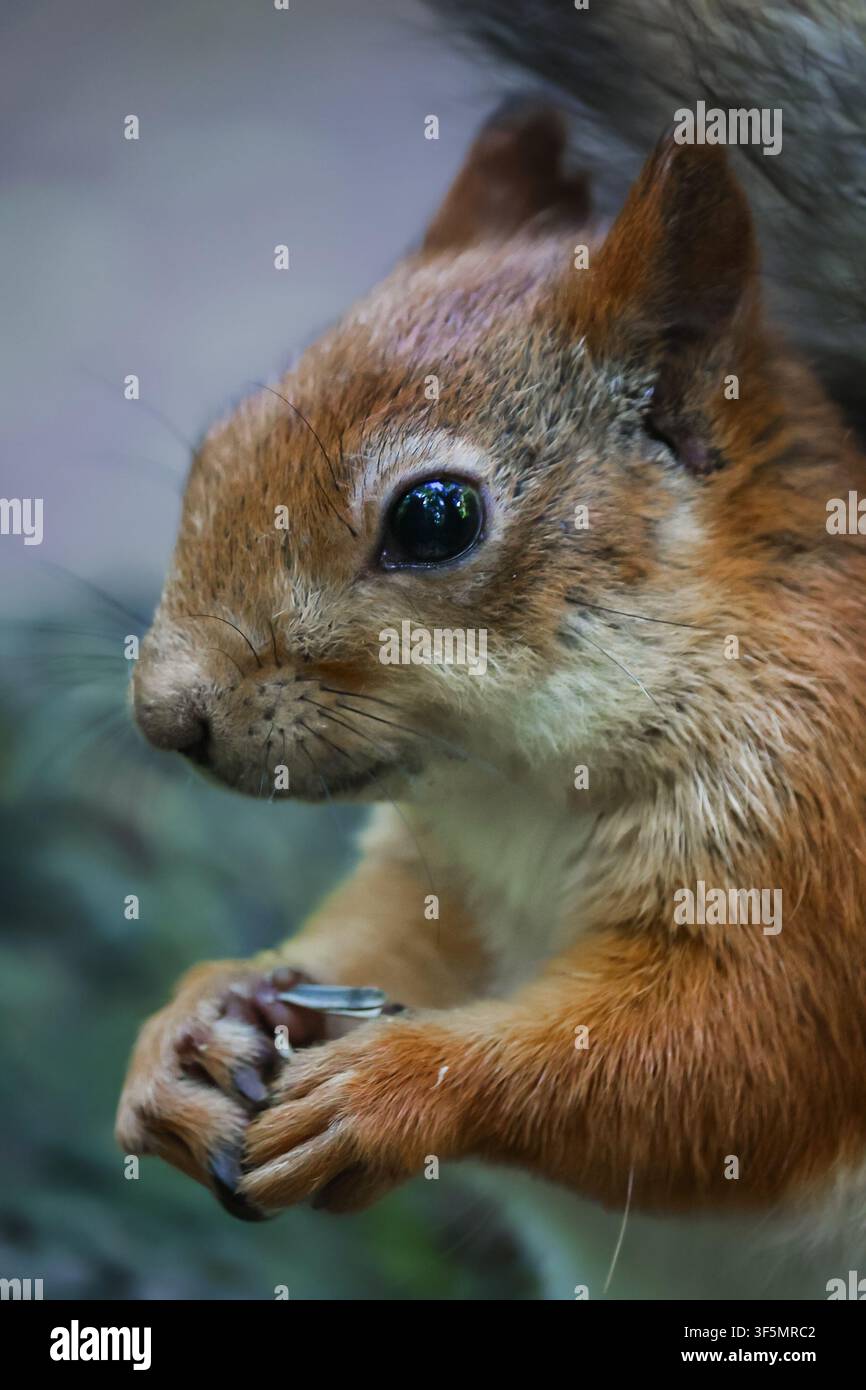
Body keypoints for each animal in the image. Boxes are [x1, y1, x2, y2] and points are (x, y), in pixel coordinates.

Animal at [116, 0, 866, 1276]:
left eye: (434, 517)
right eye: (219, 443)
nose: (166, 713)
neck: (521, 782)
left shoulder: (818, 832)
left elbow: (741, 1048)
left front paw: (401, 1085)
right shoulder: (443, 876)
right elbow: (385, 936)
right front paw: (192, 1026)